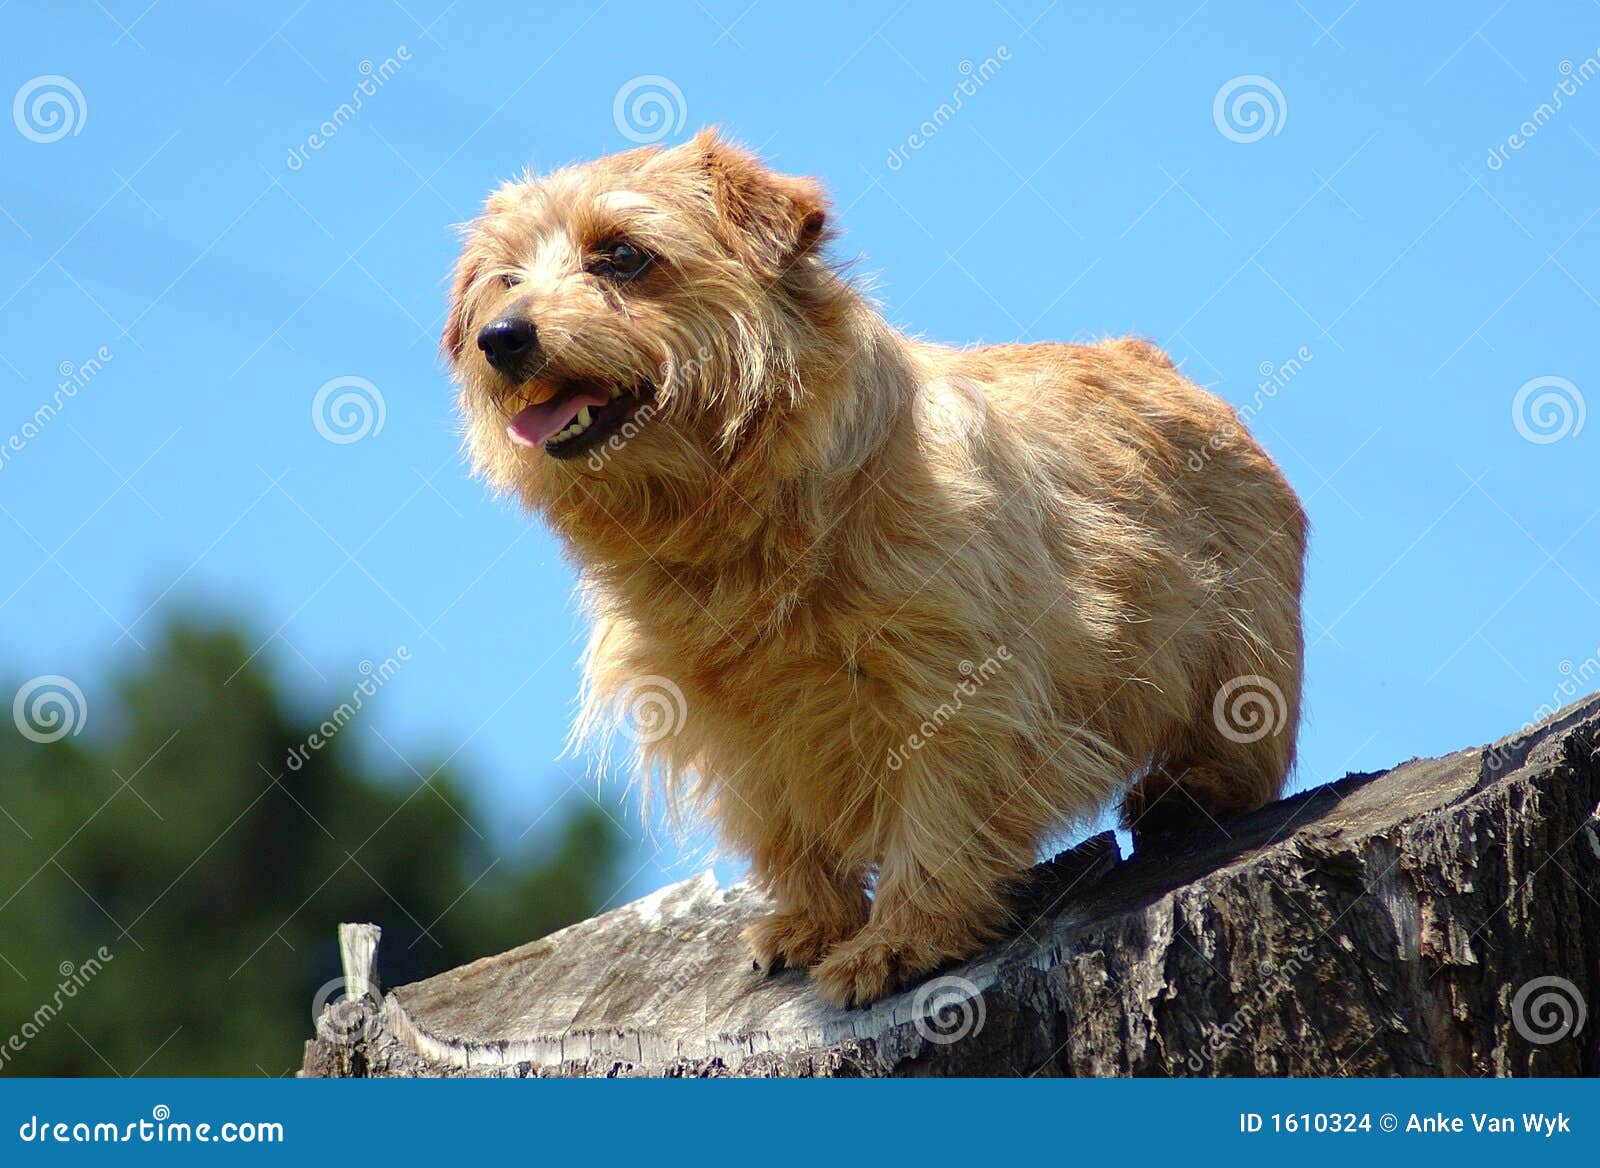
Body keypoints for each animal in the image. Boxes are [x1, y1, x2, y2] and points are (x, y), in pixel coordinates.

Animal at [444, 127, 1305, 998]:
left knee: (1250, 751)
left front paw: (901, 938)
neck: (733, 525)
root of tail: (1152, 359)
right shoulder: (729, 725)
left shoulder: (958, 688)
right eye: (505, 279)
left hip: (1247, 653)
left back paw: (1189, 792)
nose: (501, 337)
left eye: (621, 255)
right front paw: (812, 921)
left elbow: (939, 817)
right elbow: (783, 829)